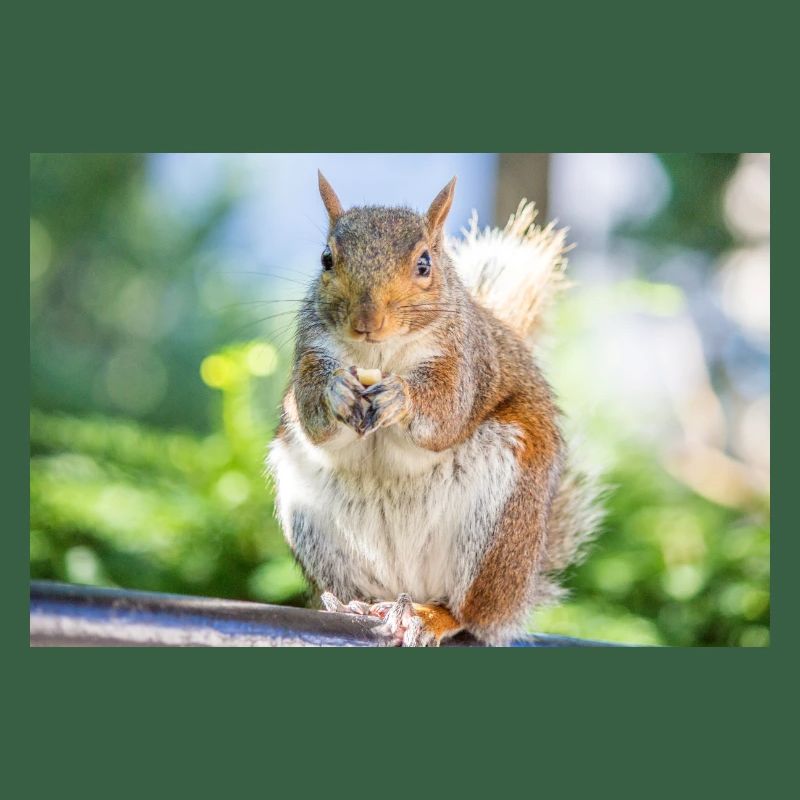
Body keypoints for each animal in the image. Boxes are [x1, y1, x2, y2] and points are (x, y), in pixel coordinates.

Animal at [267, 171, 602, 646]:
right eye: (327, 259)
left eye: (424, 264)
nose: (367, 322)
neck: (381, 355)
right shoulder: (312, 352)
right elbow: (313, 419)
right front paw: (336, 391)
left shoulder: (465, 363)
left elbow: (445, 414)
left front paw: (401, 396)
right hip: (317, 529)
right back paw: (359, 605)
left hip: (498, 531)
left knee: (468, 612)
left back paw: (429, 616)